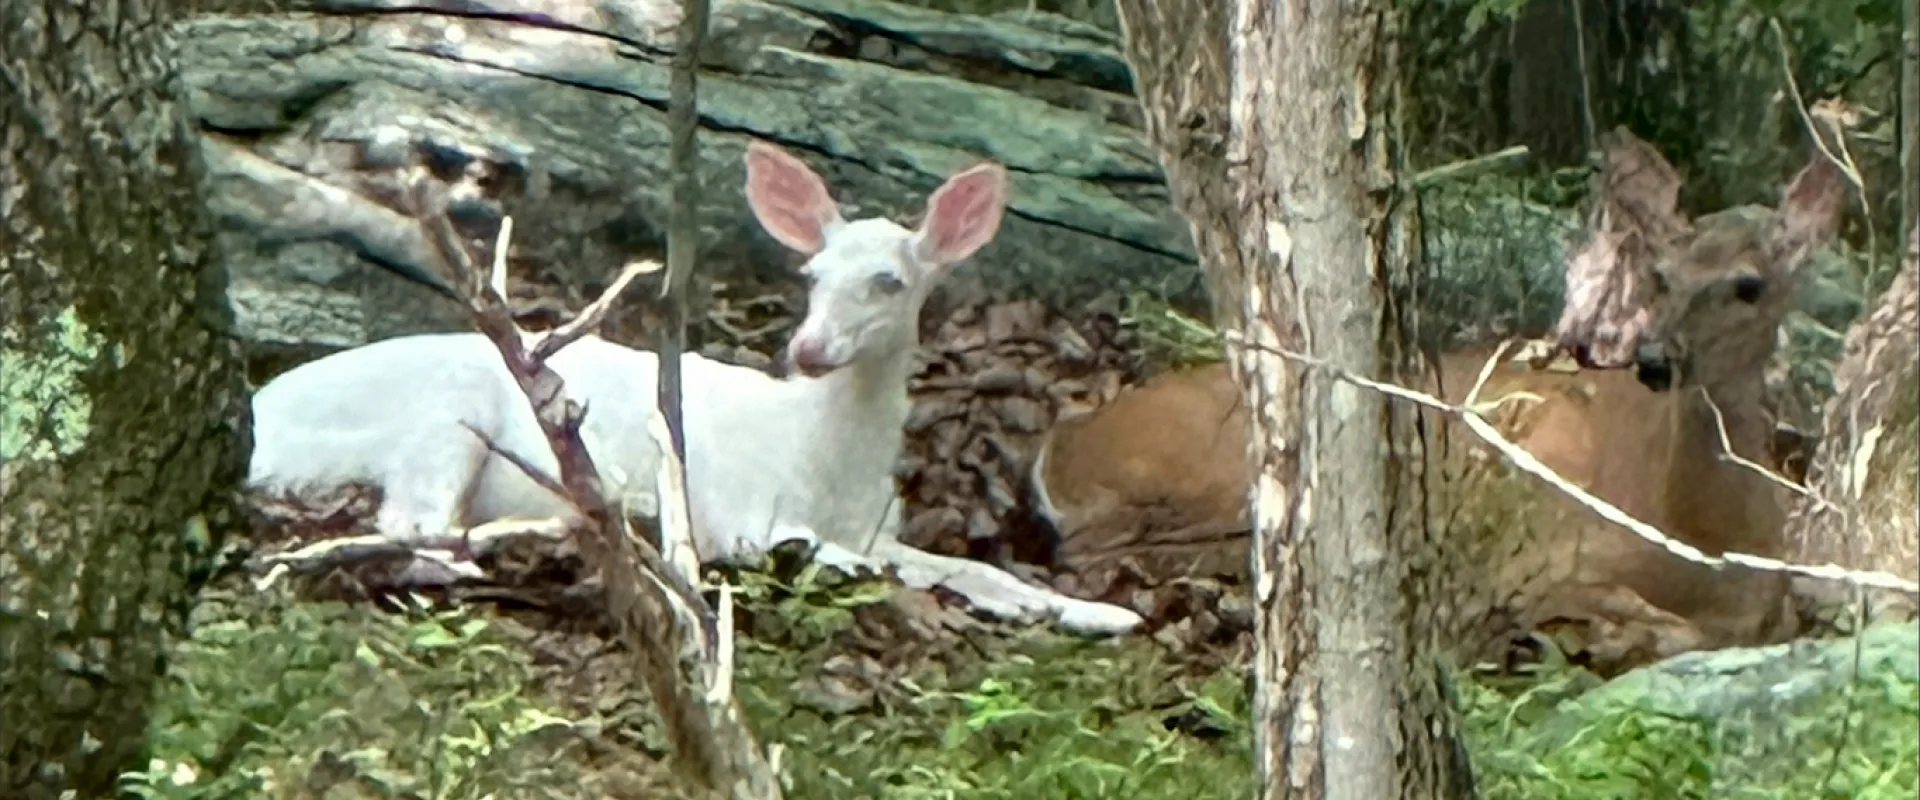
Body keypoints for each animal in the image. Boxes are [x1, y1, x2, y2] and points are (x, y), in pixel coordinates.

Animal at [238, 139, 1136, 636]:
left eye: (890, 280)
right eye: (810, 275)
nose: (808, 349)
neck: (824, 464)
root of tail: (257, 427)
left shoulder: (875, 523)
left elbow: (976, 571)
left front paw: (1104, 614)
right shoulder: (738, 510)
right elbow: (839, 560)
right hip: (437, 418)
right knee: (410, 523)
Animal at [1029, 130, 1850, 667]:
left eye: (1749, 284)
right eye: (1661, 277)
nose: (1653, 359)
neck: (1705, 546)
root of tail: (1058, 446)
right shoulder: (1552, 545)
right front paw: (1589, 632)